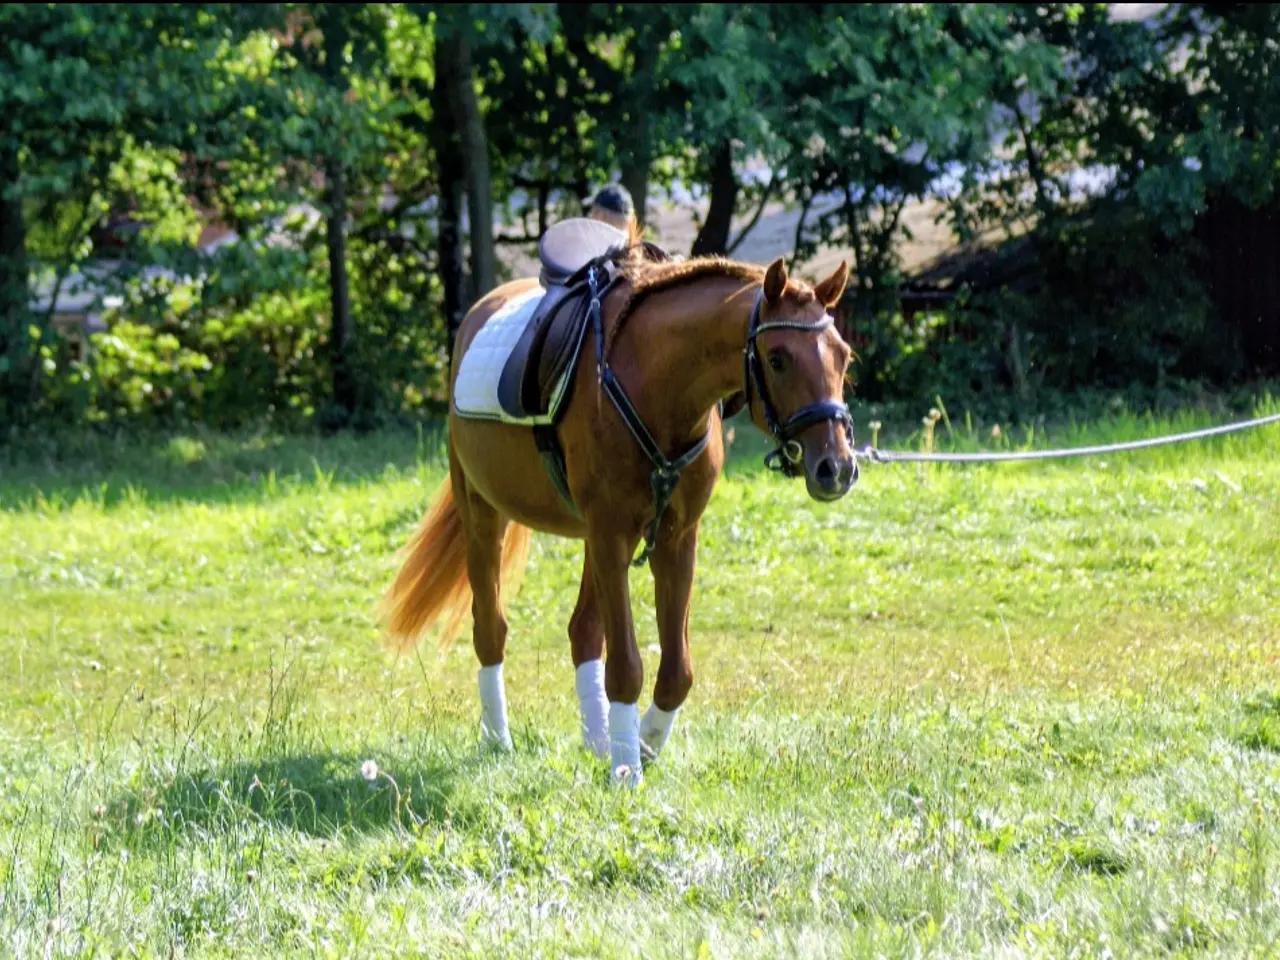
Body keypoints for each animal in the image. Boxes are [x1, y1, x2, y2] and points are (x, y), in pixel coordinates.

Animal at [380, 225, 859, 786]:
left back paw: (598, 739)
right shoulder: (611, 533)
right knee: (491, 629)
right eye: (779, 358)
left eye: (843, 355)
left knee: (583, 631)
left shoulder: (674, 538)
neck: (656, 386)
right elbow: (627, 665)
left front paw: (643, 745)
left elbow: (676, 671)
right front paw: (627, 772)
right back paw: (499, 739)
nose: (836, 467)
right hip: (484, 515)